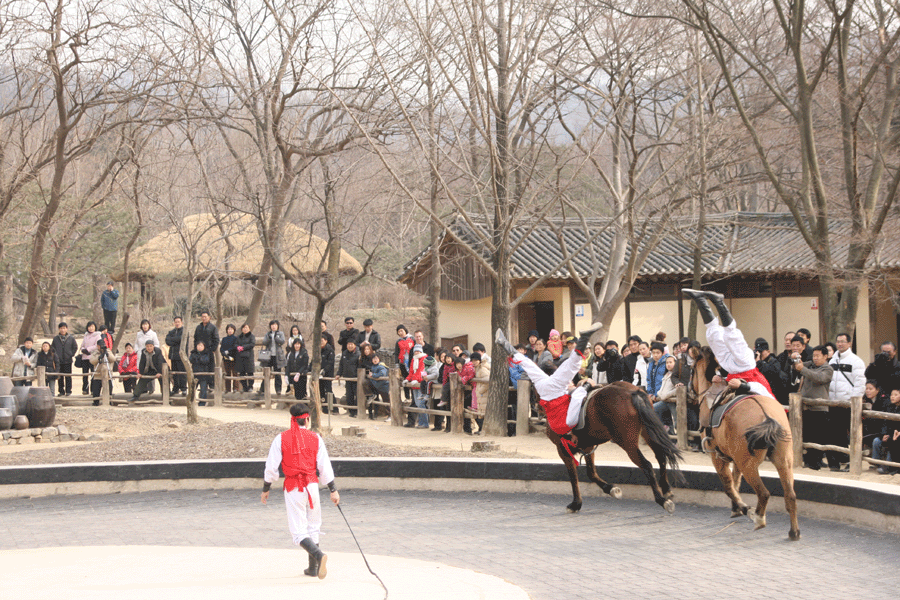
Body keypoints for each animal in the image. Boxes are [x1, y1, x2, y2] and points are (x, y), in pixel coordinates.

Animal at [540, 382, 684, 512]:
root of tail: (632, 392)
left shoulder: (563, 450)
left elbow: (573, 477)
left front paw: (576, 503)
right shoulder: (587, 447)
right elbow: (591, 473)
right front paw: (611, 489)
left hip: (627, 442)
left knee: (647, 465)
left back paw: (661, 500)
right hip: (647, 432)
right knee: (661, 456)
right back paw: (666, 489)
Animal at [692, 344, 800, 540]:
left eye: (691, 370)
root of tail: (766, 416)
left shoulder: (717, 456)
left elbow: (729, 486)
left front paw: (742, 508)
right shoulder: (734, 458)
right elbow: (735, 482)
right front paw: (736, 508)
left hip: (748, 465)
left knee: (763, 493)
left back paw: (758, 518)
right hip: (784, 460)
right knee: (790, 495)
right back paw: (793, 531)